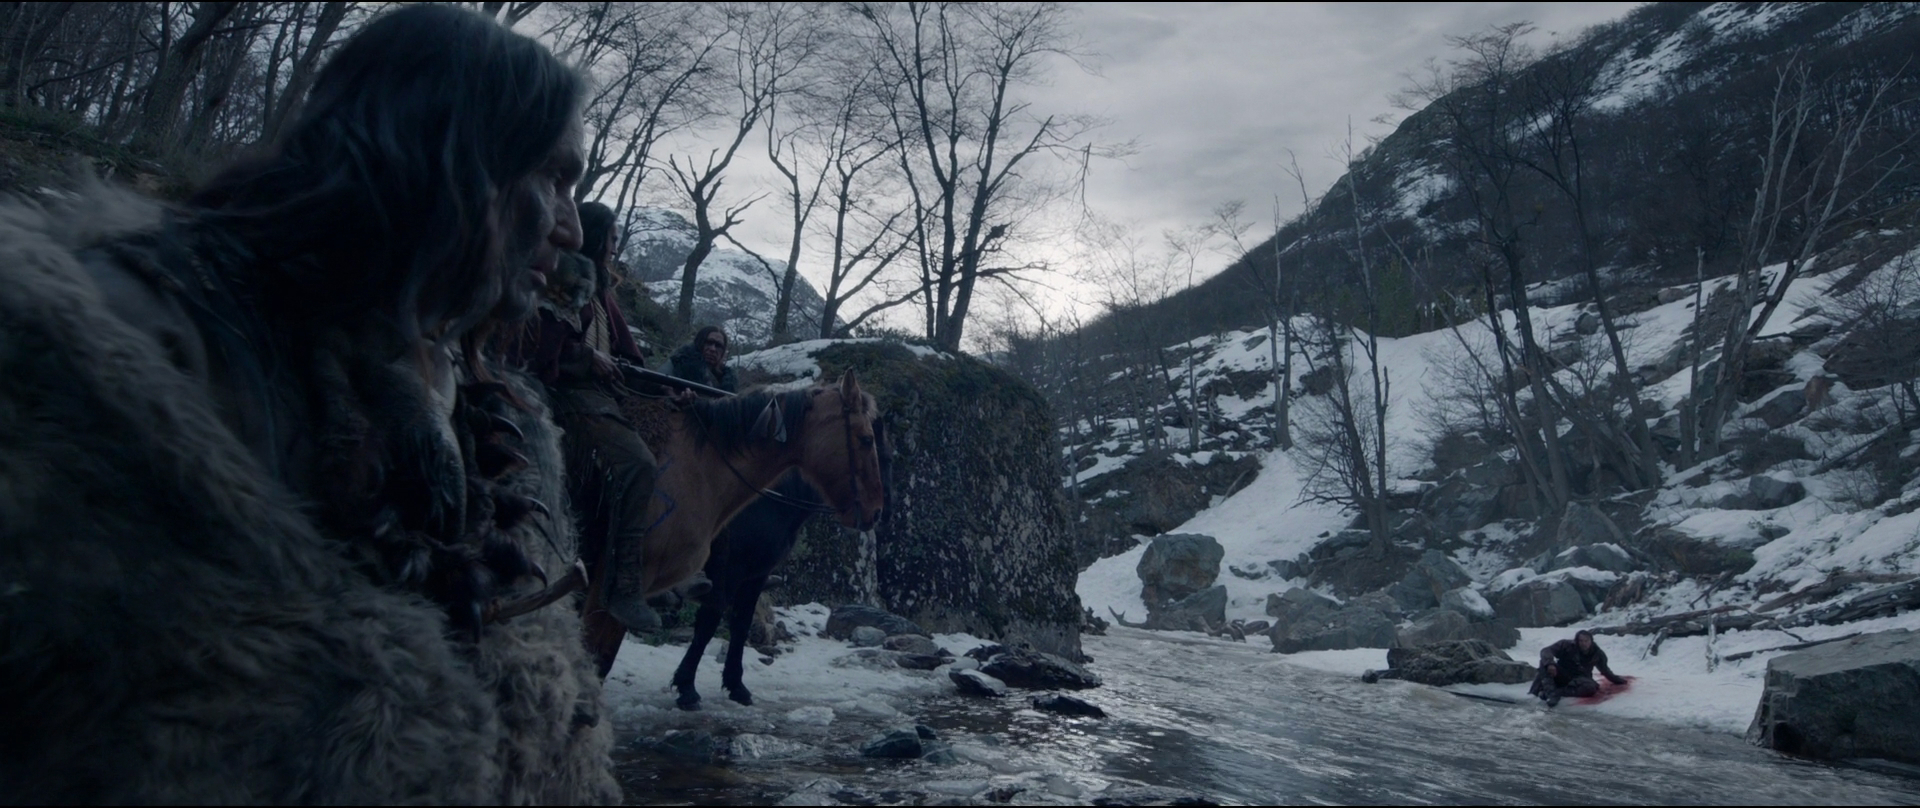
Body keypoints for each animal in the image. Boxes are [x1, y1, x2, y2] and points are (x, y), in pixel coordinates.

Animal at [669, 418, 892, 710]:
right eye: (867, 453)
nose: (877, 515)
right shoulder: (727, 571)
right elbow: (708, 622)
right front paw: (686, 687)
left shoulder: (756, 575)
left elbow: (741, 624)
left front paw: (736, 686)